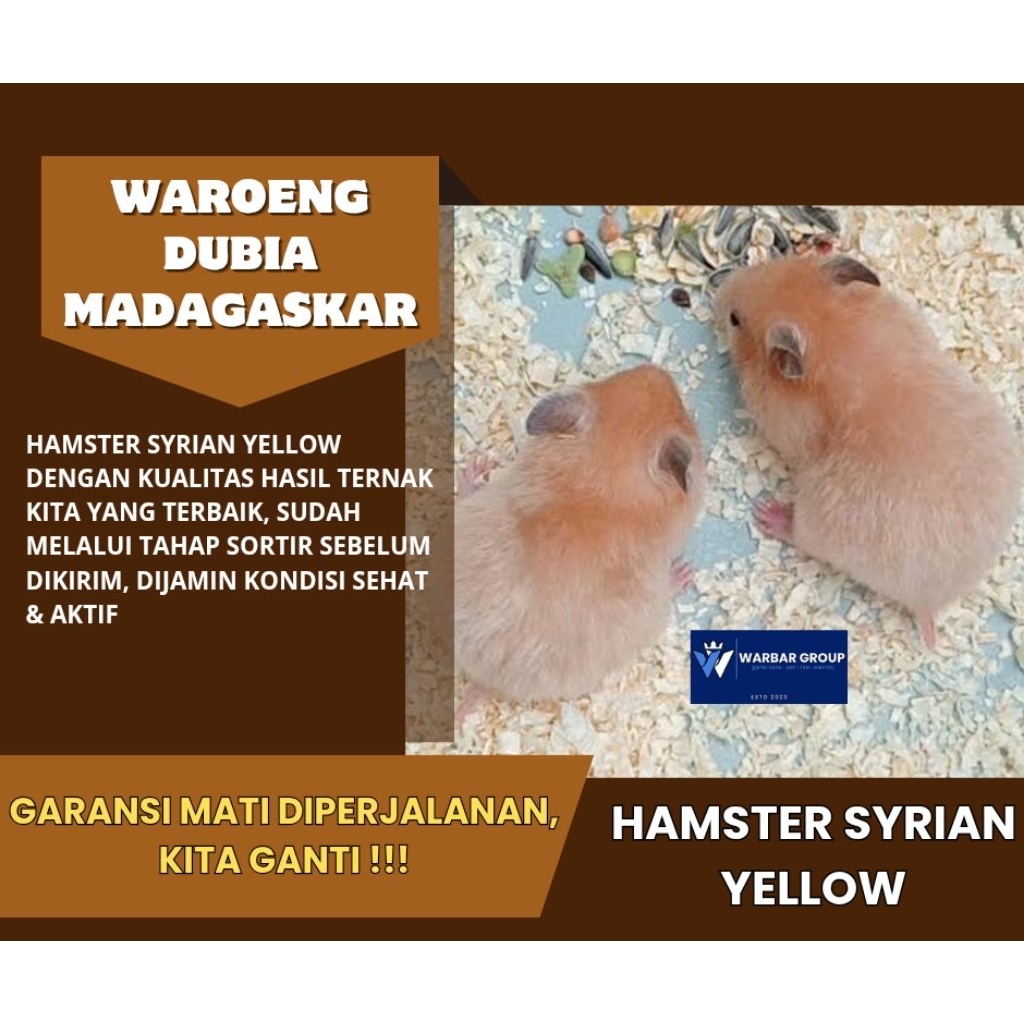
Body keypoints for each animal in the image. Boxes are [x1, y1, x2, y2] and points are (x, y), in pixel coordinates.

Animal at [715, 253, 1021, 646]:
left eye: (735, 319)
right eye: (776, 263)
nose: (721, 289)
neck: (834, 334)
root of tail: (933, 602)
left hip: (821, 520)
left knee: (803, 538)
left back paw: (768, 513)